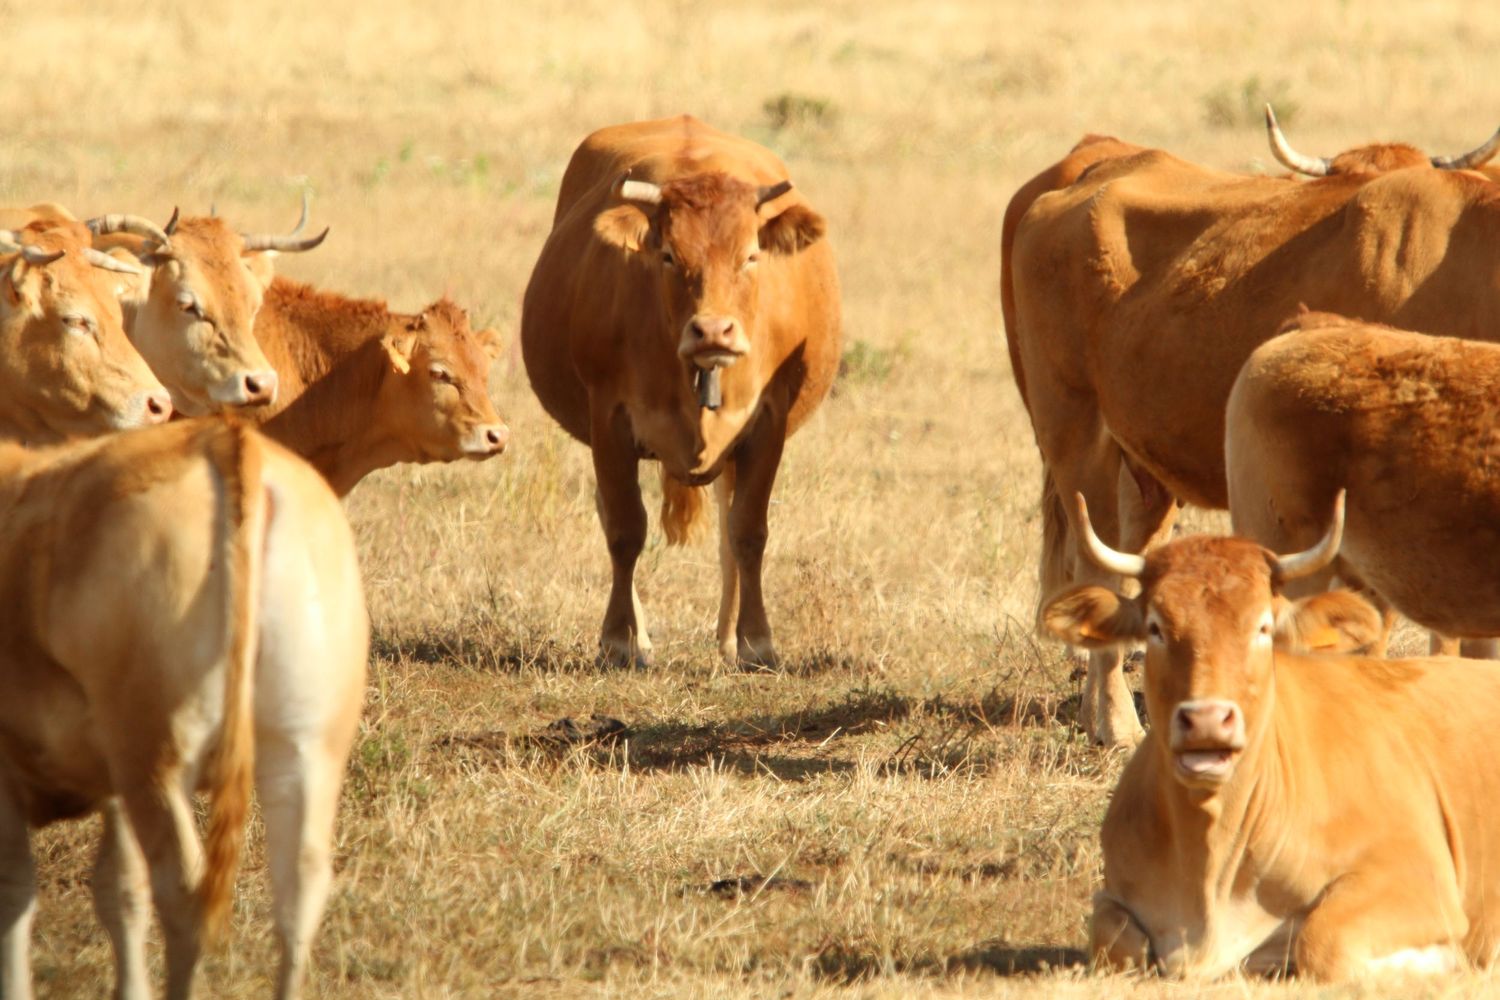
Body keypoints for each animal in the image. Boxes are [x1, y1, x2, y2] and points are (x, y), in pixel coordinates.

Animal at [0, 419, 367, 1000]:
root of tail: (223, 436)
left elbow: (15, 891)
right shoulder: (110, 783)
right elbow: (119, 889)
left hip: (157, 757)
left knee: (186, 894)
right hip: (308, 748)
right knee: (299, 887)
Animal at [521, 115, 841, 668]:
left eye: (750, 255)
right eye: (669, 255)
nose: (713, 331)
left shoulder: (767, 422)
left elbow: (748, 531)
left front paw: (755, 640)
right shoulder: (609, 419)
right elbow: (625, 528)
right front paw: (621, 639)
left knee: (729, 529)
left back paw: (728, 636)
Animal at [1042, 492, 1500, 981]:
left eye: (1262, 627)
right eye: (1155, 627)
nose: (1207, 719)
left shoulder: (1416, 876)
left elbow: (1322, 940)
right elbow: (1111, 937)